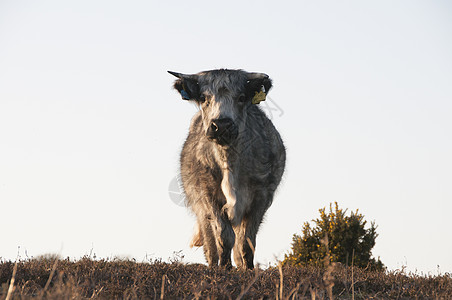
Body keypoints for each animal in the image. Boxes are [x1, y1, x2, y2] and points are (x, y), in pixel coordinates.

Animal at [168, 68, 284, 270]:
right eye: (204, 98)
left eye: (242, 97)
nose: (221, 125)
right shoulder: (208, 195)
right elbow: (223, 235)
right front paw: (224, 267)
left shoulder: (261, 196)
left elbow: (247, 240)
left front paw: (248, 269)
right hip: (200, 208)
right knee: (211, 242)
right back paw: (215, 264)